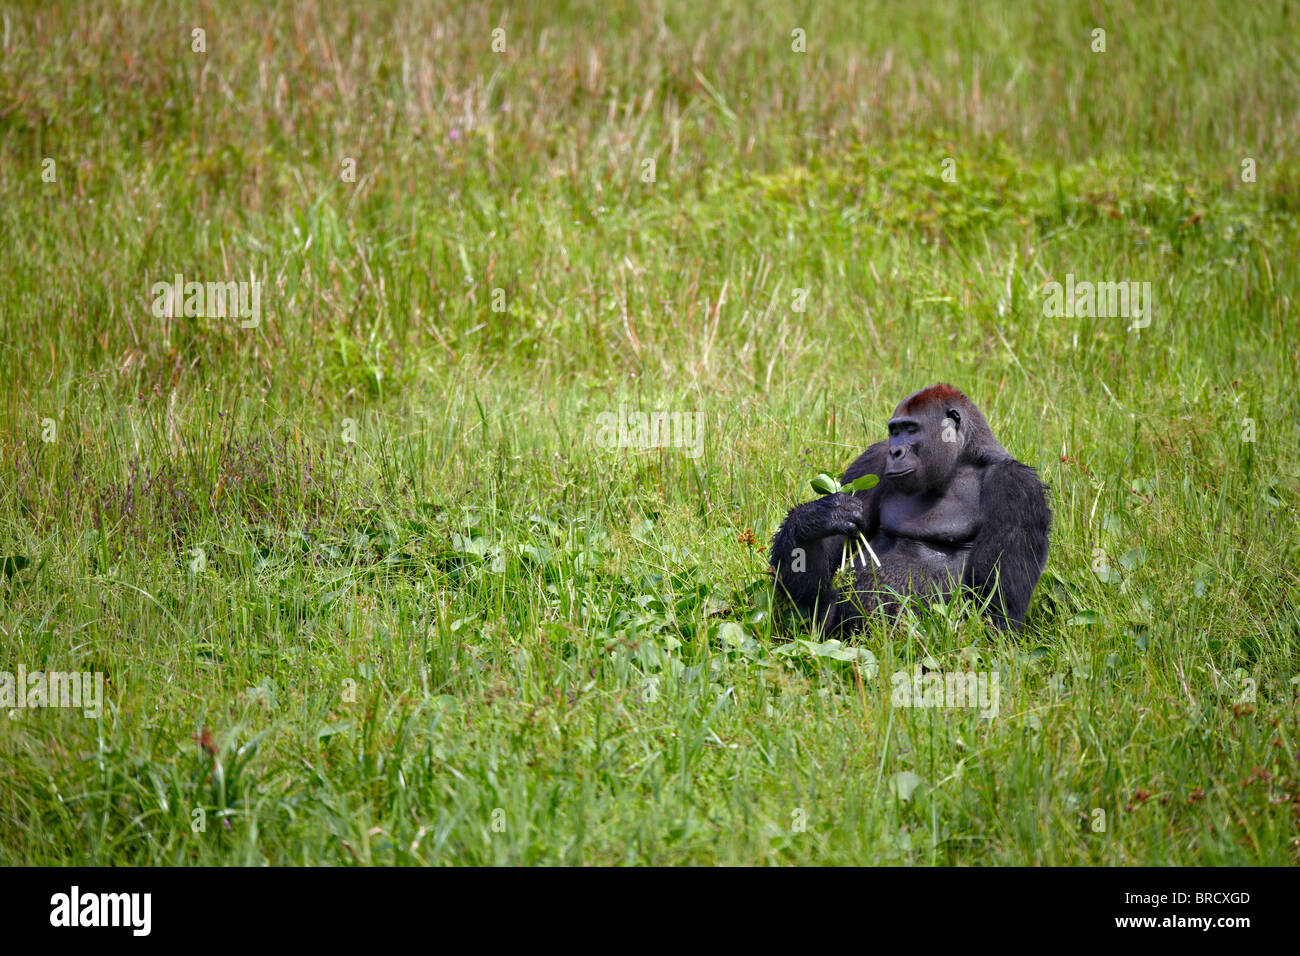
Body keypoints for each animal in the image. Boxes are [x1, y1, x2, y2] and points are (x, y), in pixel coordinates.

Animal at [769, 384, 1050, 633]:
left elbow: (997, 604)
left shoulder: (1017, 485)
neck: (963, 458)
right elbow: (817, 578)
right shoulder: (872, 461)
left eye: (911, 429)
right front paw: (815, 520)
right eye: (894, 431)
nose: (895, 451)